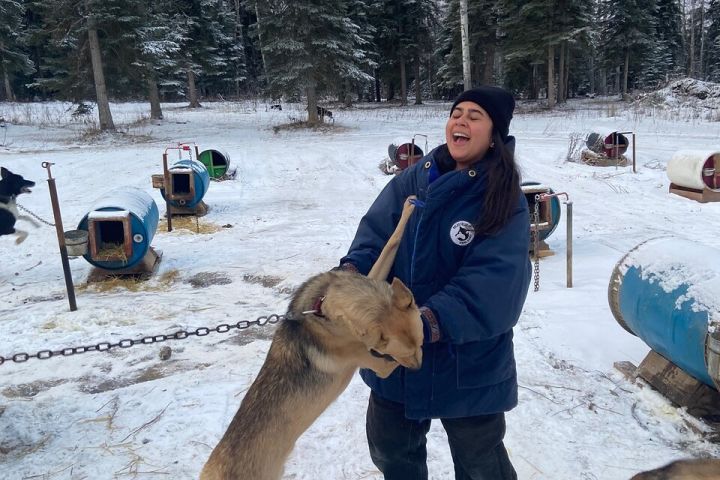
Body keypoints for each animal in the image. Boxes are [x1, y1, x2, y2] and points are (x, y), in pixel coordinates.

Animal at [200, 196, 422, 480]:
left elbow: (391, 243)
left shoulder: (372, 274)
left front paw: (409, 208)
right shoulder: (378, 363)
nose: (419, 368)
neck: (325, 309)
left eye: (421, 344)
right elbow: (385, 363)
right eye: (407, 355)